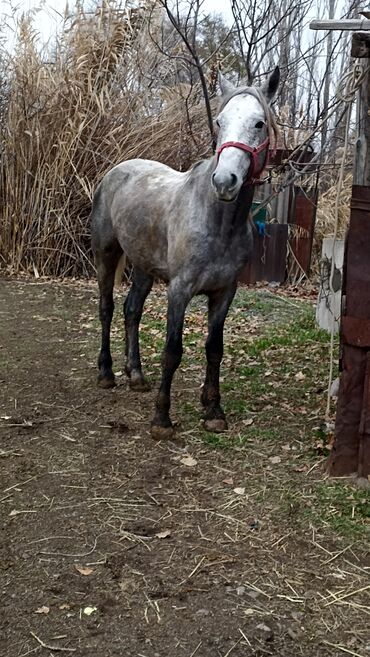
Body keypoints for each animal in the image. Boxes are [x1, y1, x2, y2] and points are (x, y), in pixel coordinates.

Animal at [91, 66, 278, 438]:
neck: (217, 221)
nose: (225, 181)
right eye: (219, 121)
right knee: (107, 309)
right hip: (106, 256)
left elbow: (214, 349)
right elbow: (172, 351)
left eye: (259, 123)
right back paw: (106, 373)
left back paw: (136, 375)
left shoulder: (224, 292)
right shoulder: (179, 290)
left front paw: (214, 411)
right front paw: (162, 419)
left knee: (132, 311)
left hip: (143, 267)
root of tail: (116, 171)